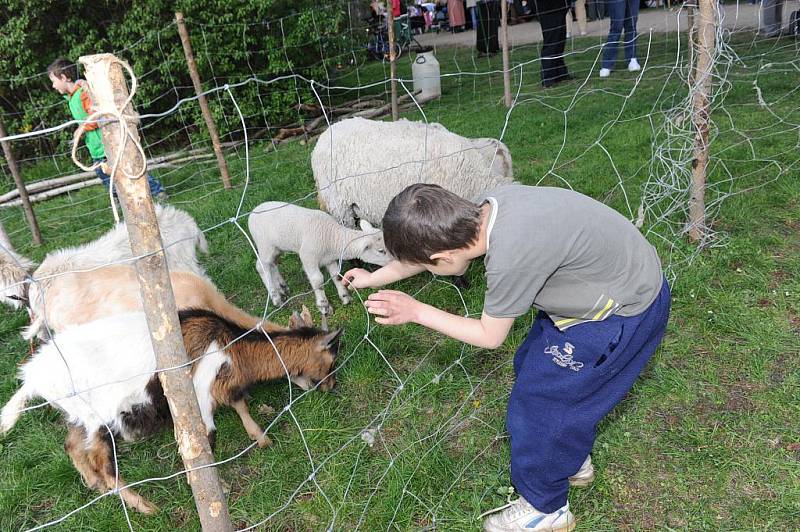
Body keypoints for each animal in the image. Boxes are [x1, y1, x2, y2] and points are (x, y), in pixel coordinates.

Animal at [0, 310, 340, 512]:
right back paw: (144, 506)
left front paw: (260, 437)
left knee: (72, 446)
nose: (331, 387)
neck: (232, 343)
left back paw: (94, 485)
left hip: (78, 416)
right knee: (101, 462)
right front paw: (211, 492)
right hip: (97, 417)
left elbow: (238, 402)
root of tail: (32, 378)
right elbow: (206, 438)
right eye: (331, 360)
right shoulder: (199, 388)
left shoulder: (221, 383)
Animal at [247, 201, 390, 316]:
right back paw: (275, 297)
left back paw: (282, 287)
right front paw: (324, 306)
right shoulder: (308, 256)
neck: (332, 236)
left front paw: (345, 297)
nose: (392, 261)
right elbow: (317, 280)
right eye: (381, 251)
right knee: (262, 266)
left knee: (273, 263)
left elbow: (336, 275)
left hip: (277, 247)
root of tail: (252, 213)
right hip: (264, 245)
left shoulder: (329, 259)